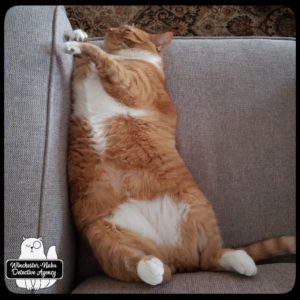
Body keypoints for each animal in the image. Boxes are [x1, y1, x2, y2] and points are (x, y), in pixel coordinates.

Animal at [63, 26, 296, 286]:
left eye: (126, 29)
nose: (108, 28)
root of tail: (174, 257)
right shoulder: (81, 79)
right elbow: (89, 62)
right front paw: (78, 35)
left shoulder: (131, 85)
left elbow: (104, 59)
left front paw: (80, 44)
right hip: (101, 232)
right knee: (147, 264)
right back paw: (153, 268)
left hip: (198, 208)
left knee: (210, 257)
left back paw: (243, 262)